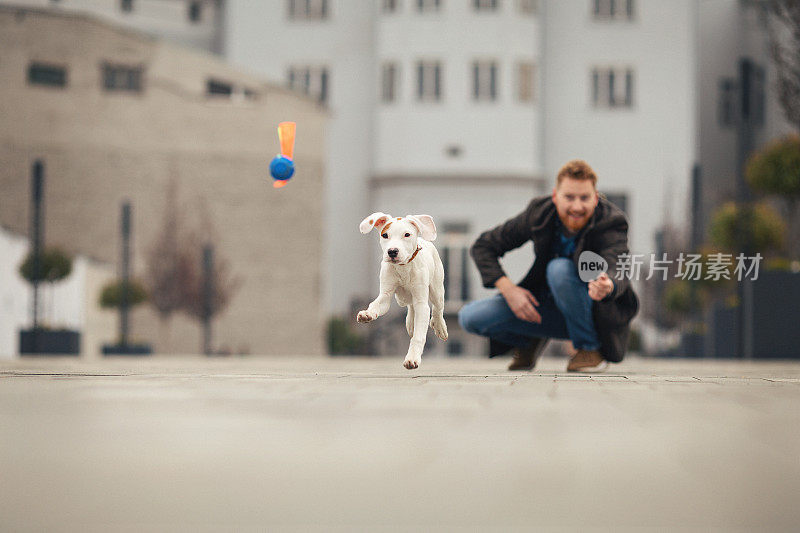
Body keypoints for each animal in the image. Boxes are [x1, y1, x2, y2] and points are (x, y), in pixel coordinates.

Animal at [358, 210, 446, 368]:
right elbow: (376, 304)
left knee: (437, 308)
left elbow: (419, 336)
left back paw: (439, 326)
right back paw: (411, 323)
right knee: (410, 306)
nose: (392, 251)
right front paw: (367, 314)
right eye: (385, 235)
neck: (403, 267)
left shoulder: (422, 303)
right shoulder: (386, 295)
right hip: (402, 298)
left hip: (437, 288)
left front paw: (412, 358)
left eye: (407, 234)